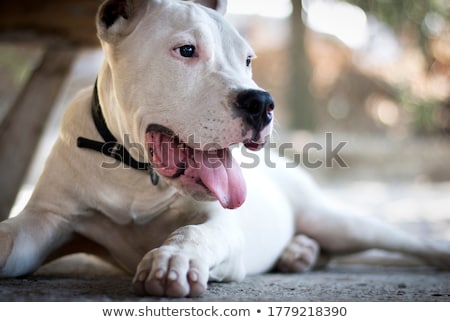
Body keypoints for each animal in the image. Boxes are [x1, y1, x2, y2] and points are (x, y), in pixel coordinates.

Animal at [0, 0, 450, 296]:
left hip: (337, 220)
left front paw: (174, 260)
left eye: (248, 60)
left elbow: (194, 233)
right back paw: (299, 253)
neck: (135, 176)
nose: (263, 103)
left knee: (399, 242)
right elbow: (13, 235)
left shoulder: (220, 223)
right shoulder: (46, 219)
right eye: (186, 50)